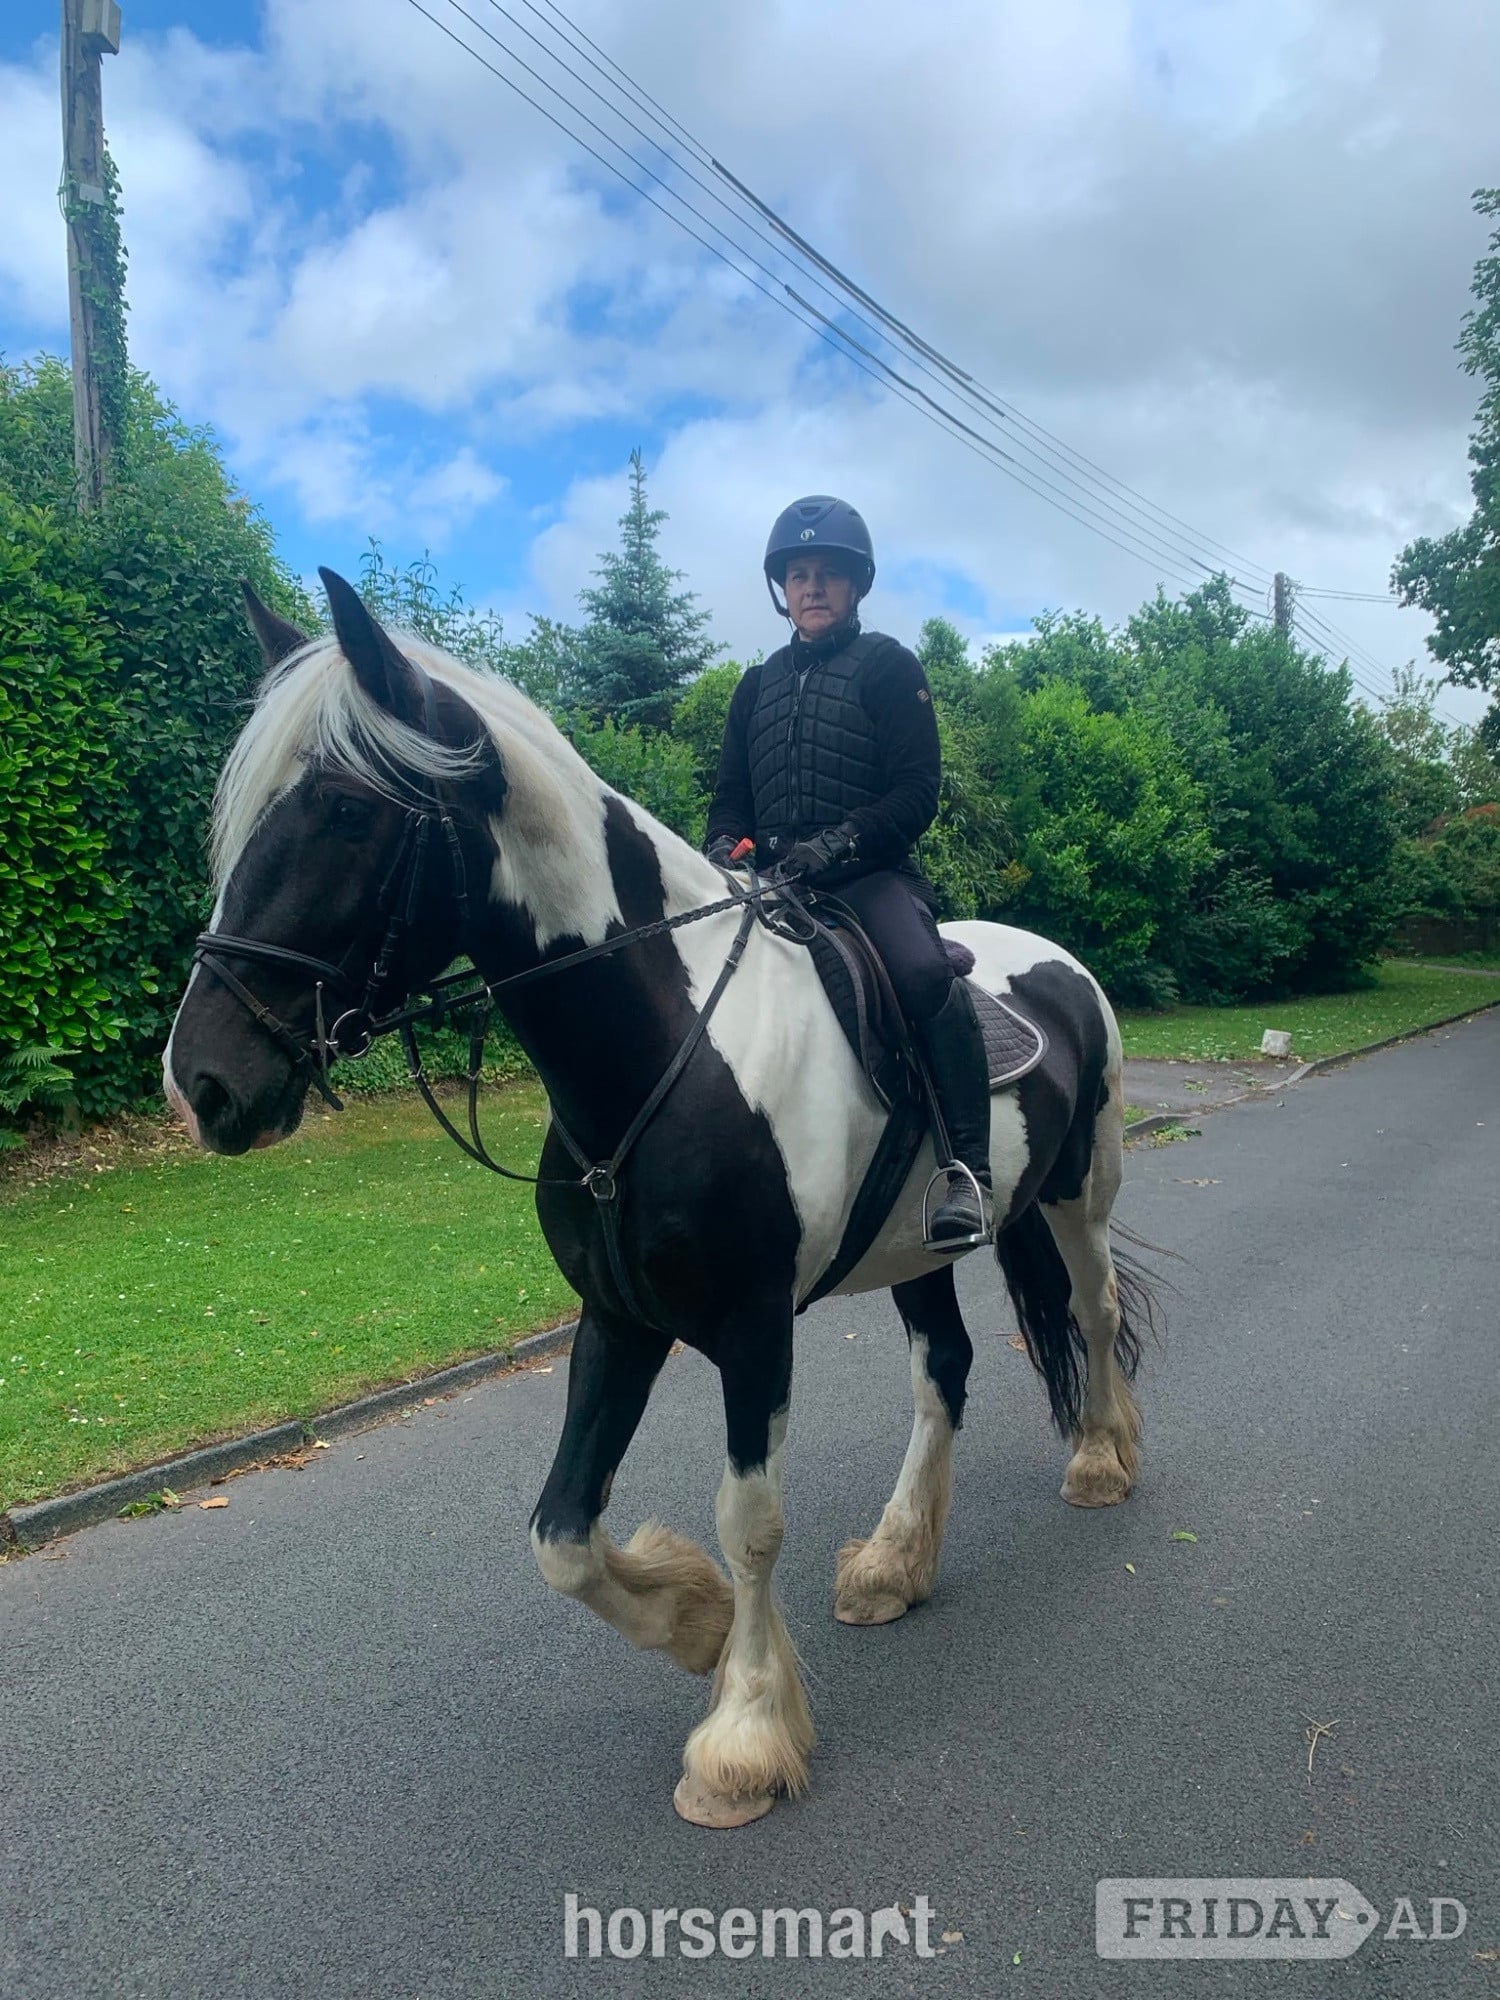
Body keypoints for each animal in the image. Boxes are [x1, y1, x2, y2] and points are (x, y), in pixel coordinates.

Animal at [164, 570, 1154, 1829]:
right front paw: (695, 1623)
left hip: (1079, 1195)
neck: (672, 1047)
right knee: (946, 1368)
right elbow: (561, 1529)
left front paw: (743, 1735)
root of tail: (1049, 959)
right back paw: (894, 1561)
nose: (201, 1079)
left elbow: (751, 1519)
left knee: (1093, 1310)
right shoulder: (619, 1317)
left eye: (343, 810)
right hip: (920, 1248)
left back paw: (1101, 1462)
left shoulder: (751, 1324)